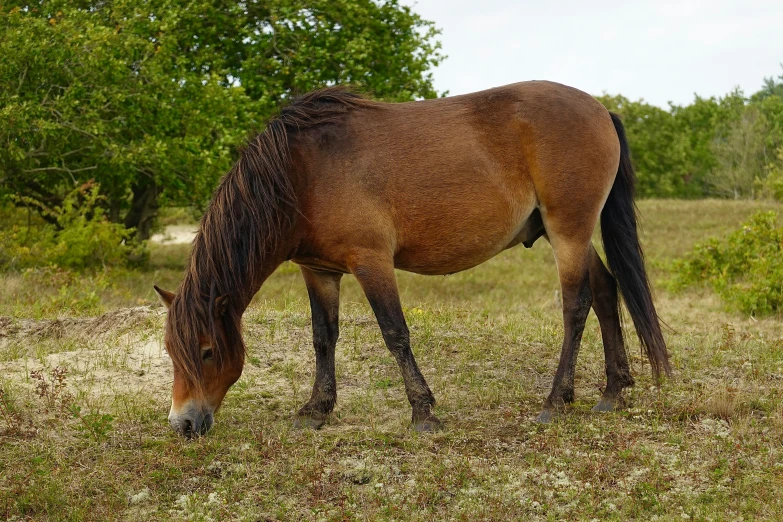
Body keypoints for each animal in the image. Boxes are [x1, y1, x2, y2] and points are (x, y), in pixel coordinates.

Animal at [155, 81, 672, 436]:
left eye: (206, 350)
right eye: (172, 352)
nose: (183, 424)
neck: (300, 172)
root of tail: (599, 109)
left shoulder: (371, 262)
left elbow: (395, 334)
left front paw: (423, 411)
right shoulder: (319, 271)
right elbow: (323, 338)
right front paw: (316, 409)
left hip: (568, 233)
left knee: (576, 306)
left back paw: (556, 400)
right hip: (568, 235)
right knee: (605, 290)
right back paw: (613, 391)